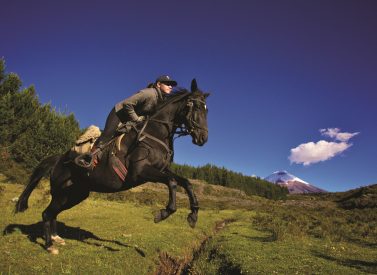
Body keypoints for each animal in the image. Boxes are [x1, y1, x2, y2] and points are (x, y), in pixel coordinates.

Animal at [14, 78, 209, 256]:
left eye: (206, 109)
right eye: (195, 106)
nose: (203, 138)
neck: (155, 132)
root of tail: (58, 160)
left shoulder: (161, 170)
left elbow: (185, 182)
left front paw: (193, 216)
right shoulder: (141, 172)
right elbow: (172, 182)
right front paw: (164, 213)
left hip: (74, 194)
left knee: (53, 213)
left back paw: (56, 239)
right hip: (63, 193)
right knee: (47, 214)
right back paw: (49, 245)